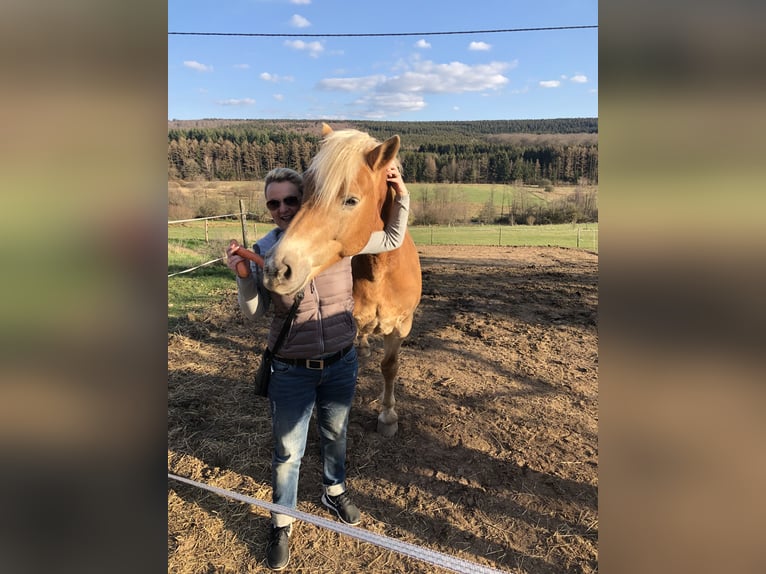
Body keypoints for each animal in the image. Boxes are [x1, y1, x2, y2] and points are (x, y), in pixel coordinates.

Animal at [262, 122, 424, 436]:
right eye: (302, 193)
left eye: (350, 200)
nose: (277, 268)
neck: (380, 271)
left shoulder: (402, 325)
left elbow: (390, 366)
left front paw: (388, 415)